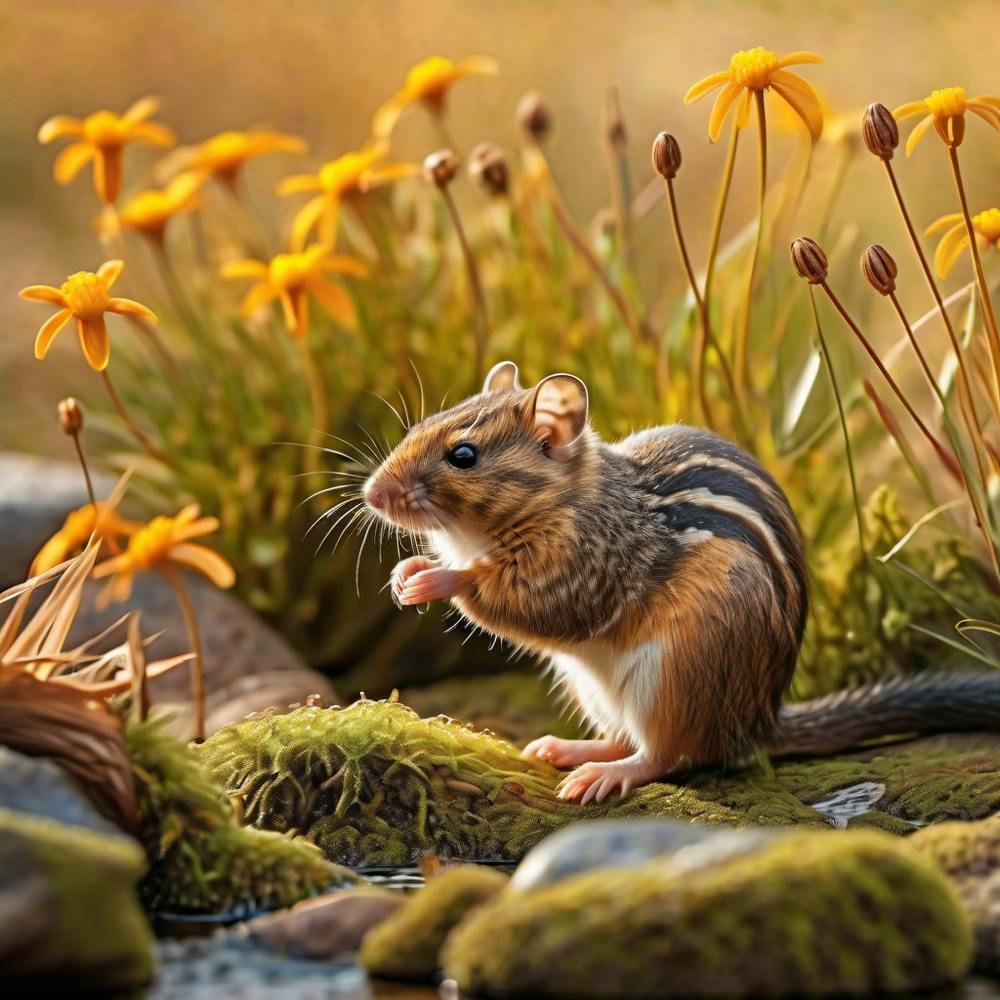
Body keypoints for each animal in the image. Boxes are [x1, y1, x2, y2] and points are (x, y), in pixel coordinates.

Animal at [363, 361, 1000, 804]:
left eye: (463, 456)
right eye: (420, 426)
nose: (372, 494)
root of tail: (755, 723)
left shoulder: (581, 570)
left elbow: (527, 602)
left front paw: (436, 579)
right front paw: (404, 574)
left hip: (675, 673)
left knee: (668, 754)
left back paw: (603, 775)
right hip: (592, 685)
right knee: (626, 735)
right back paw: (564, 748)